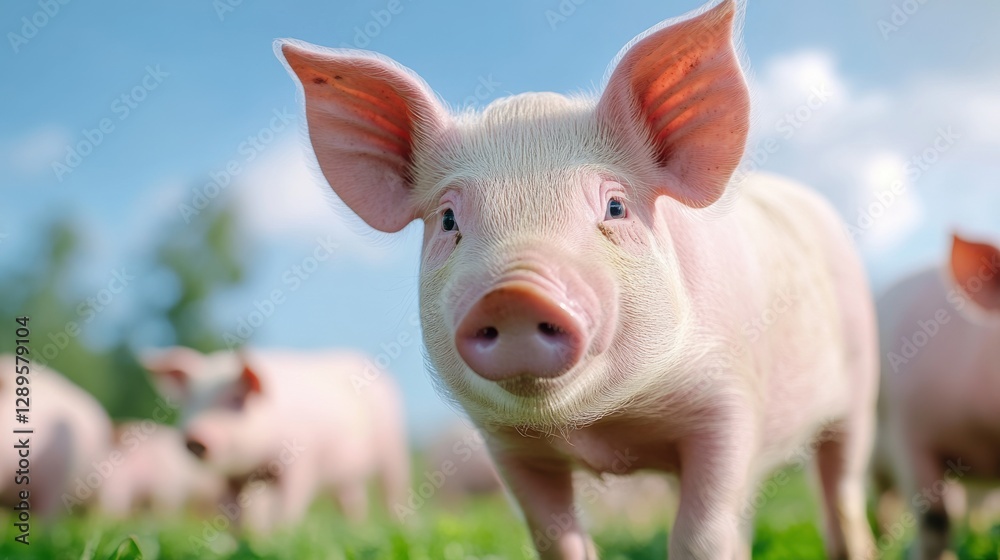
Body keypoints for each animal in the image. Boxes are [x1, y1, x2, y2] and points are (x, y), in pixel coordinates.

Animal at [140, 347, 409, 532]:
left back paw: (400, 526)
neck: (258, 465)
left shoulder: (302, 462)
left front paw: (279, 539)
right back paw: (356, 530)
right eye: (192, 401)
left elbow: (289, 506)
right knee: (352, 500)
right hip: (346, 474)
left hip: (392, 443)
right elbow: (231, 514)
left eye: (236, 399)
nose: (196, 436)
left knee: (392, 489)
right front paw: (240, 542)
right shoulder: (229, 478)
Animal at [277, 0, 878, 557]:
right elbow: (555, 536)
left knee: (841, 487)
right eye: (448, 220)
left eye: (615, 207)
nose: (512, 294)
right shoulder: (506, 445)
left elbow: (700, 533)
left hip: (858, 385)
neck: (603, 429)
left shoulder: (727, 402)